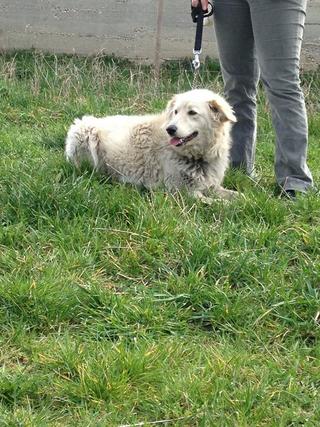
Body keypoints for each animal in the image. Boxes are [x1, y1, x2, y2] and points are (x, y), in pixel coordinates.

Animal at [65, 88, 238, 202]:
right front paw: (230, 206)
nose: (170, 129)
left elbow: (237, 195)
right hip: (85, 130)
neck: (198, 157)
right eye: (175, 112)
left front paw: (240, 200)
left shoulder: (211, 186)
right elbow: (217, 203)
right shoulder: (183, 192)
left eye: (192, 112)